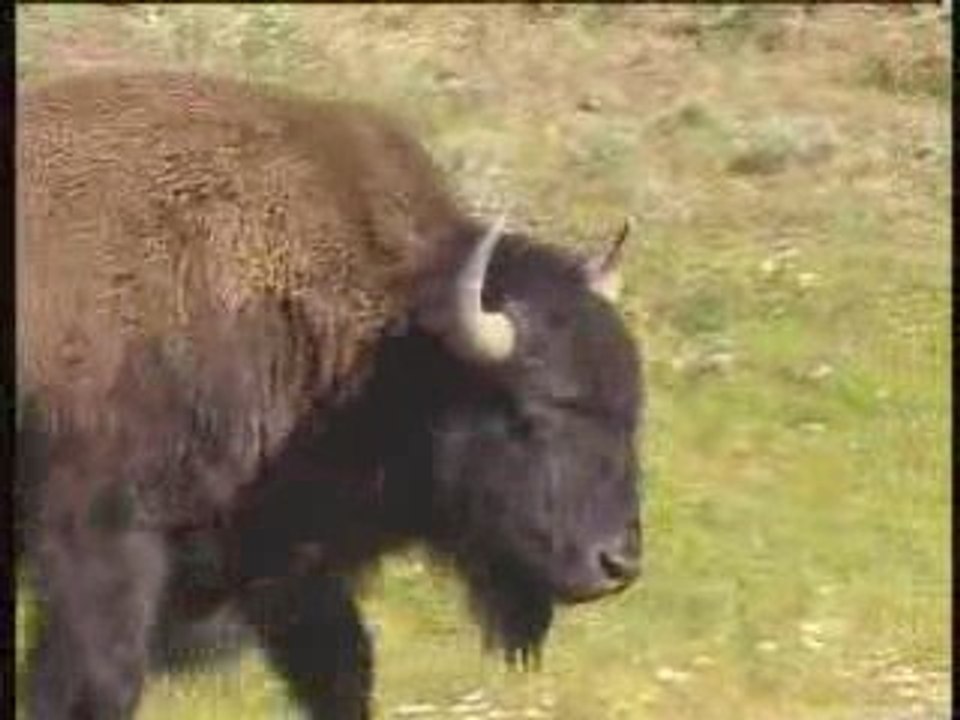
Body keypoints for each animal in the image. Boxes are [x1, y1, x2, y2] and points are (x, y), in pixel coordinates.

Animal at [17, 72, 645, 720]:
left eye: (630, 411)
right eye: (531, 413)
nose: (617, 563)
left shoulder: (285, 557)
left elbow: (343, 664)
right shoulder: (104, 537)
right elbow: (99, 678)